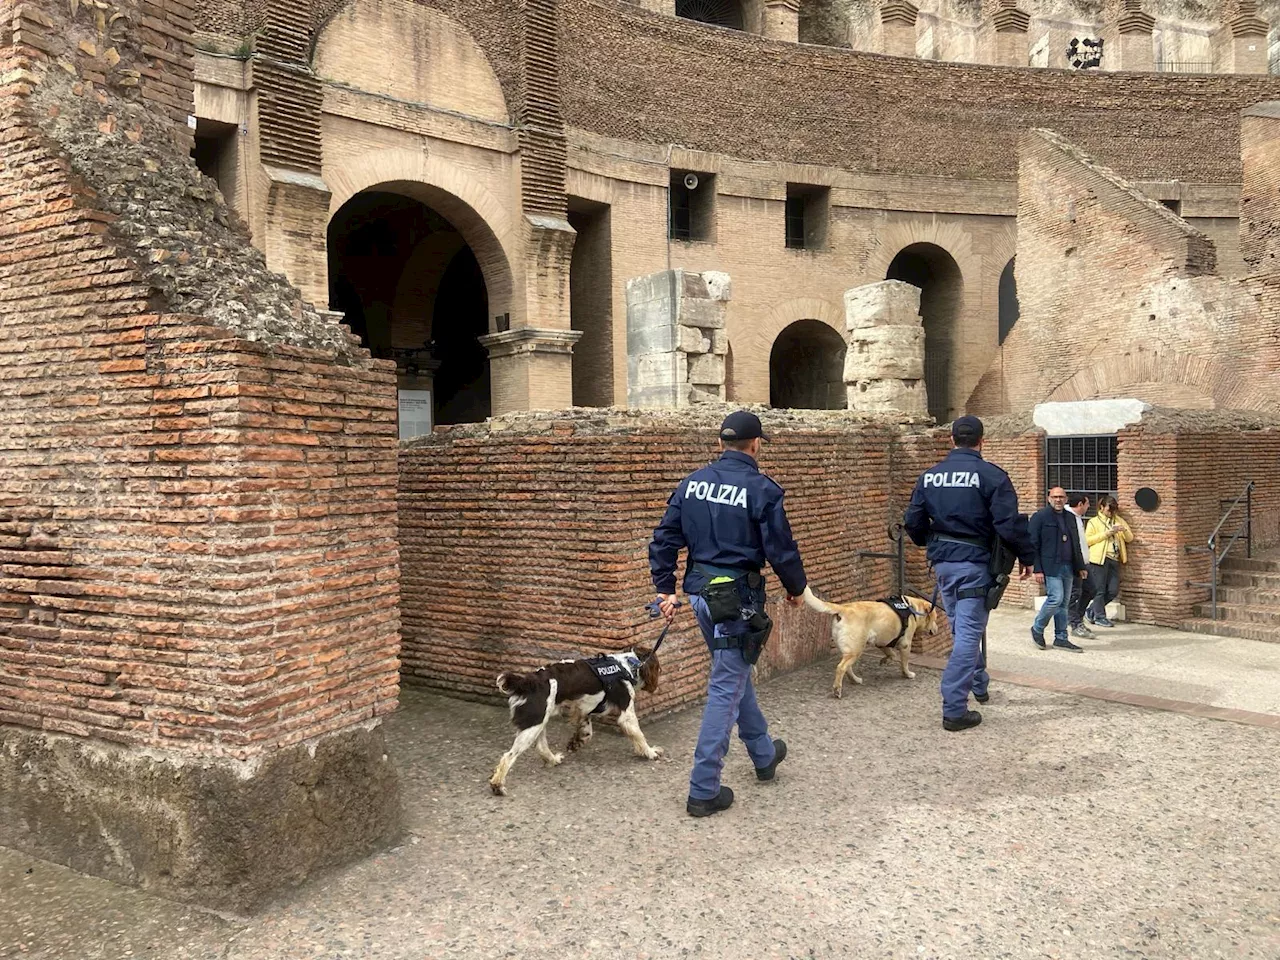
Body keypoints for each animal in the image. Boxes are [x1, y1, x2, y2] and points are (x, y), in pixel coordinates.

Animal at [488, 650, 665, 798]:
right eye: (659, 669)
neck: (629, 665)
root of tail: (526, 681)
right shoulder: (626, 713)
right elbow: (639, 735)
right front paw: (650, 752)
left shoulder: (585, 709)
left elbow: (587, 731)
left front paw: (576, 742)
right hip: (534, 723)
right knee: (508, 756)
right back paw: (498, 785)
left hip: (539, 721)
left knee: (541, 747)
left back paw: (553, 760)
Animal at [798, 586, 942, 701]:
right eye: (935, 619)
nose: (937, 629)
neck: (912, 608)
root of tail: (843, 608)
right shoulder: (905, 645)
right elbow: (904, 663)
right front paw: (907, 674)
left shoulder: (882, 642)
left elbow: (892, 655)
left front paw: (885, 661)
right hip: (856, 649)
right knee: (841, 667)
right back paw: (837, 689)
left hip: (851, 649)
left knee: (847, 667)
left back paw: (855, 680)